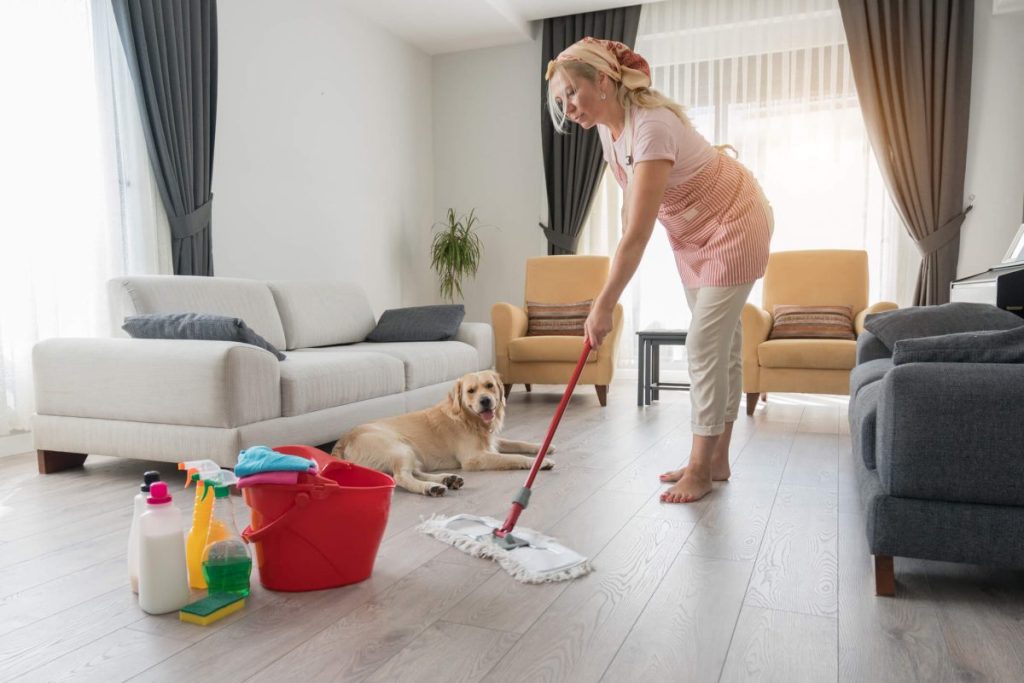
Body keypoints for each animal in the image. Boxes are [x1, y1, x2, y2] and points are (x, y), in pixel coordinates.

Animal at [329, 370, 552, 493]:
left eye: (490, 386)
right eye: (471, 391)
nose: (485, 401)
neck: (469, 419)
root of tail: (343, 439)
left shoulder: (492, 441)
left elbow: (517, 443)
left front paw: (542, 447)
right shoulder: (474, 458)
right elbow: (513, 456)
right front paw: (537, 462)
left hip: (410, 451)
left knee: (414, 472)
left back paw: (447, 479)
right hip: (398, 447)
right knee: (401, 477)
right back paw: (431, 488)